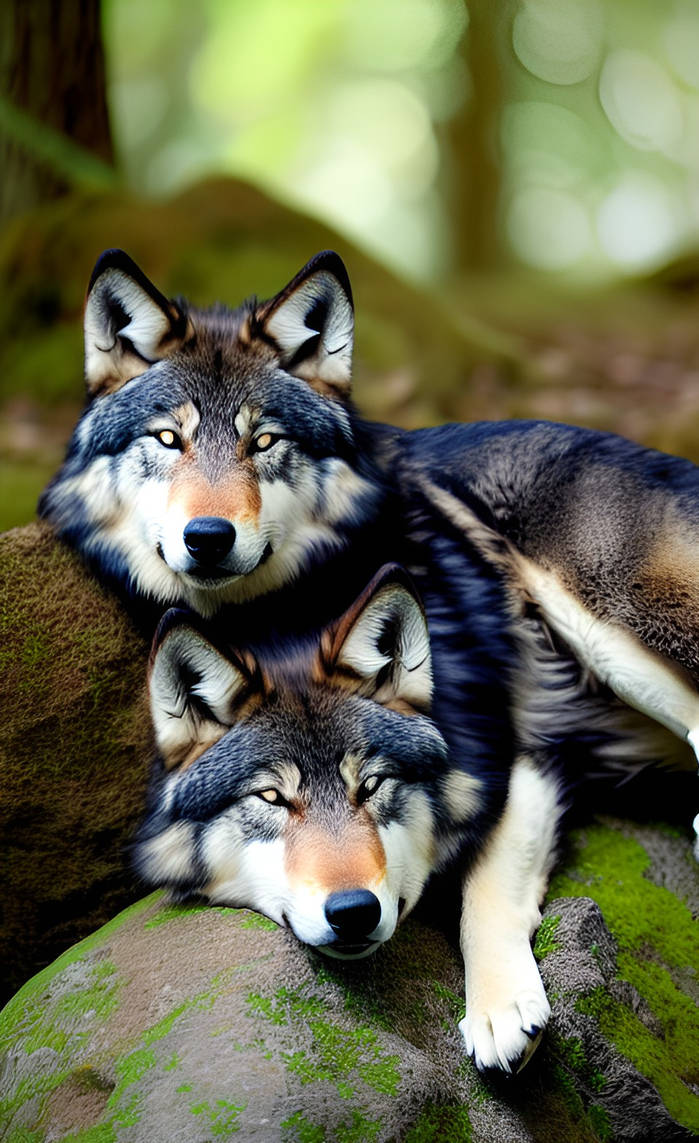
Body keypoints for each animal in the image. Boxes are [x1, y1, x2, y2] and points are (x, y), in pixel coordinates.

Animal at [41, 249, 699, 1071]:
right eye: (168, 440)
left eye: (265, 442)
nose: (209, 536)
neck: (283, 608)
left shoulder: (514, 751)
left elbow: (482, 881)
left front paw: (497, 1006)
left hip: (615, 633)